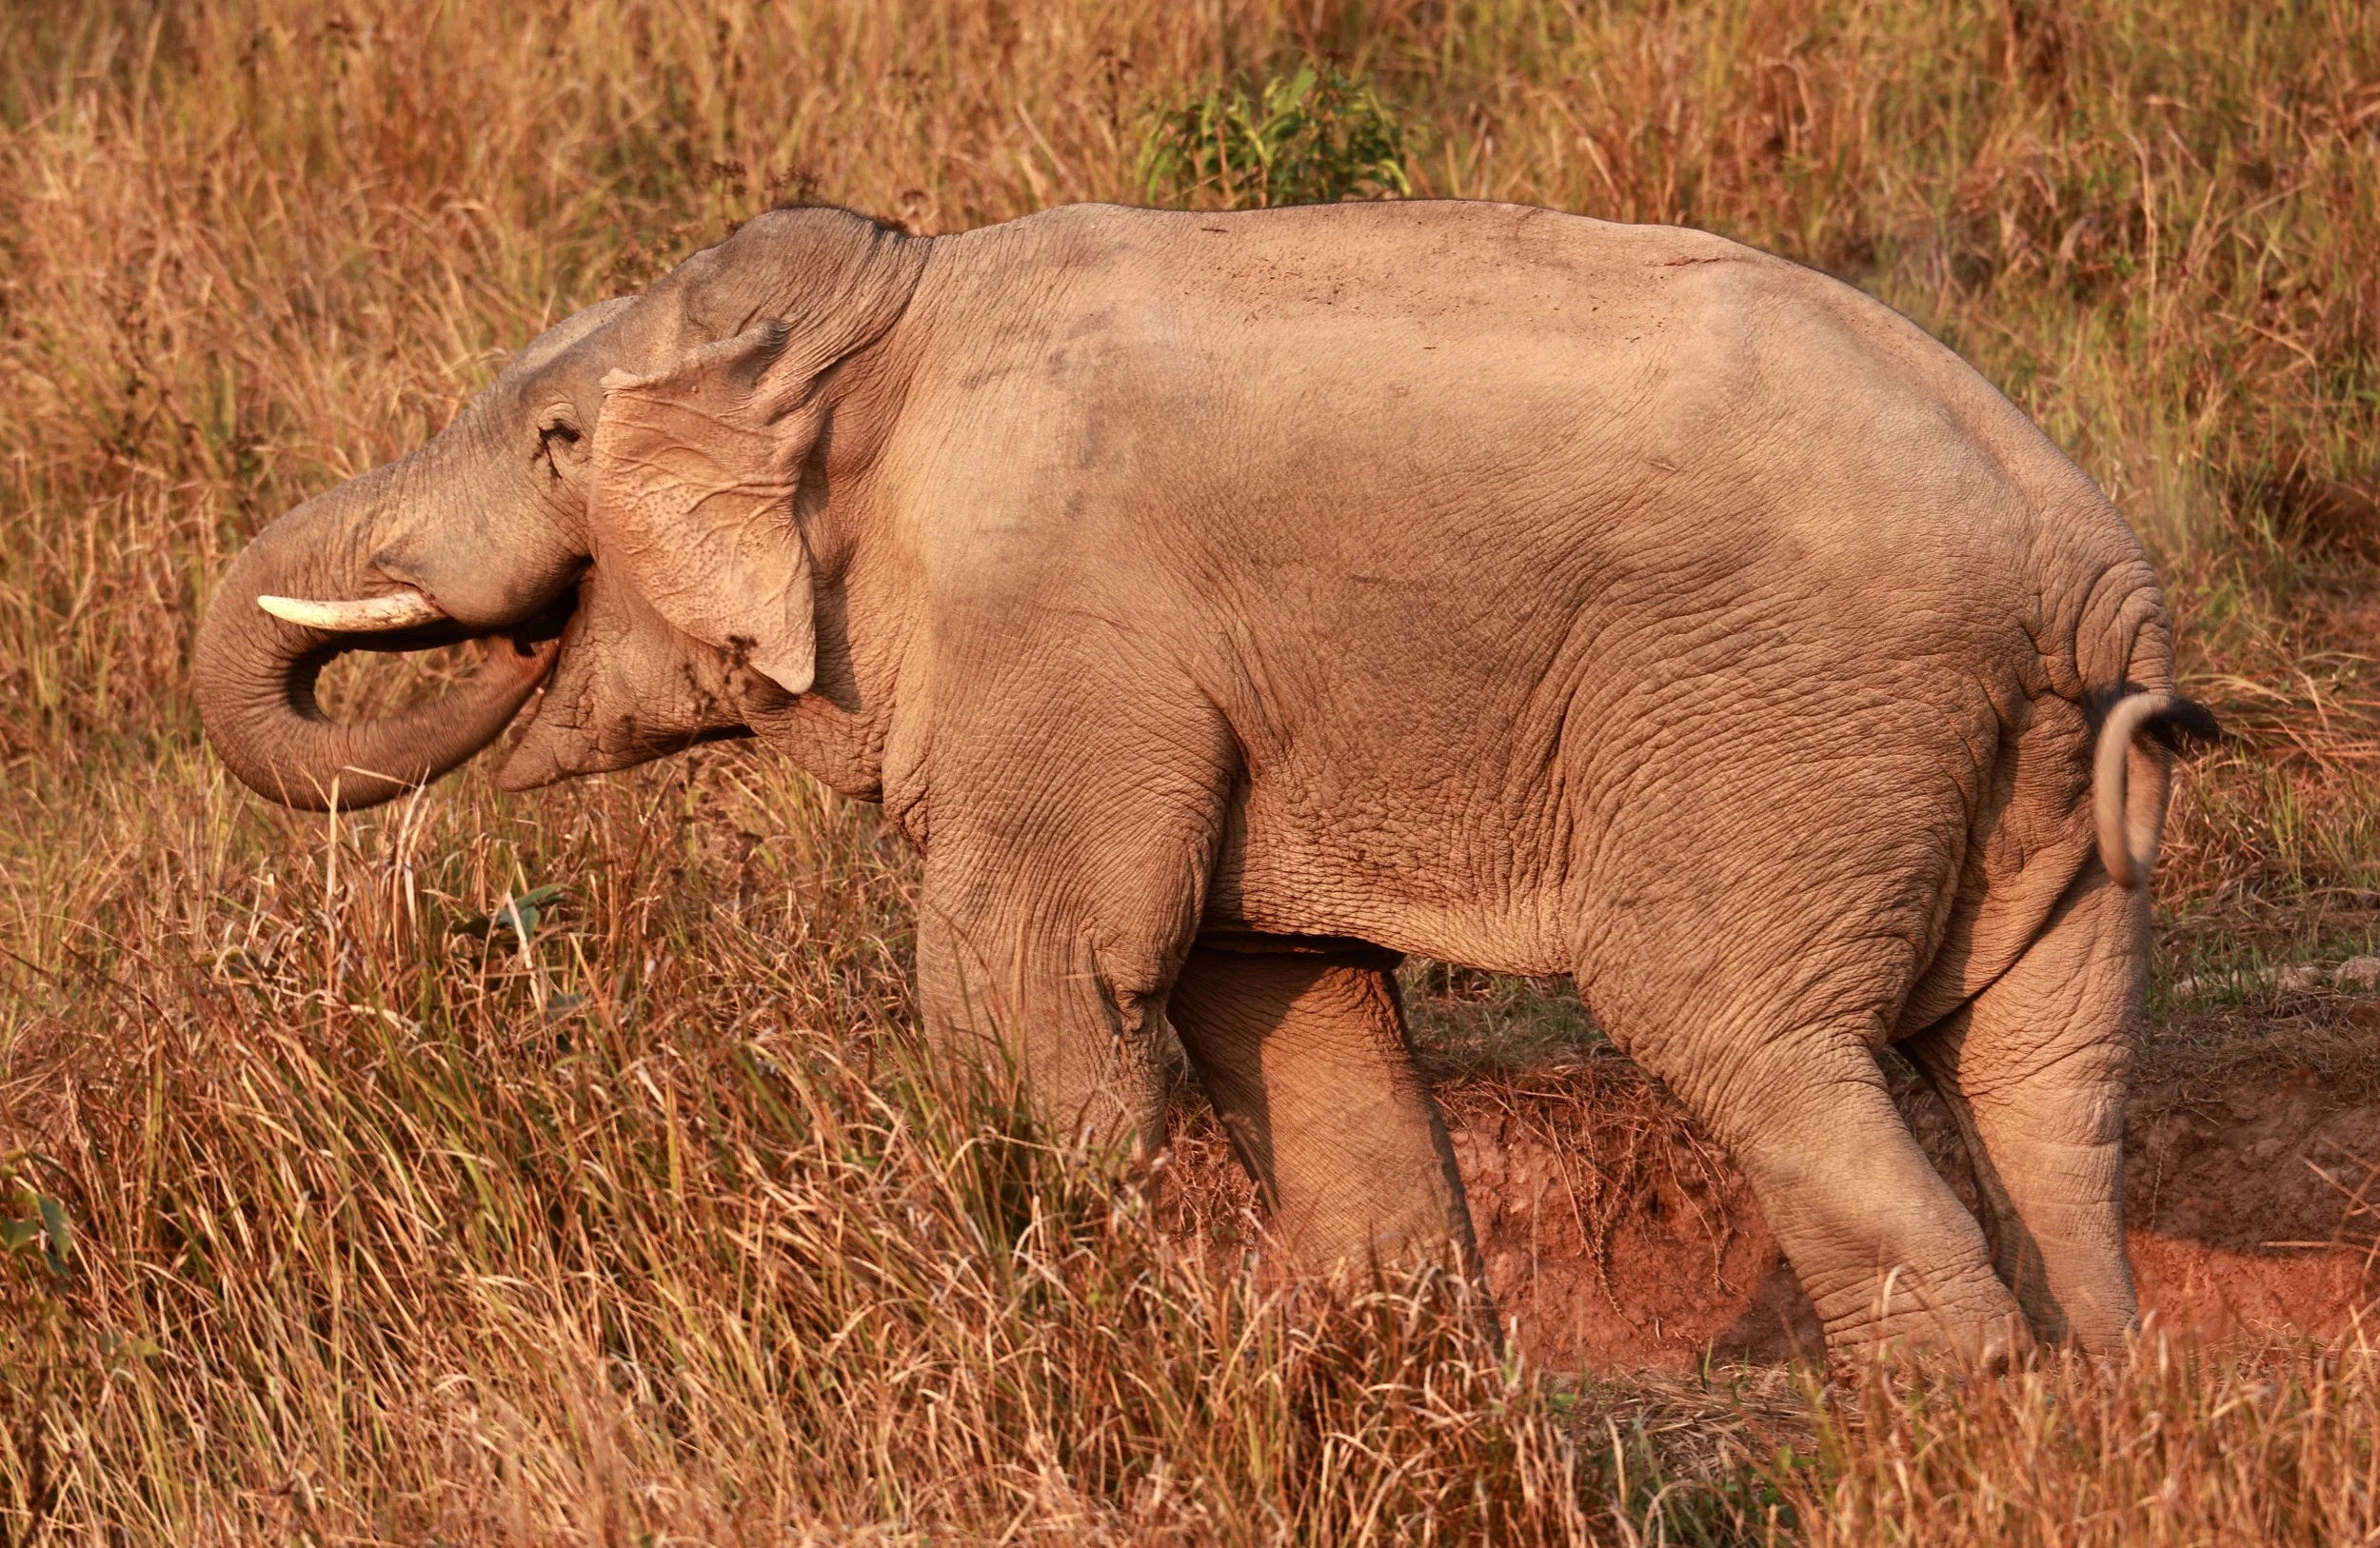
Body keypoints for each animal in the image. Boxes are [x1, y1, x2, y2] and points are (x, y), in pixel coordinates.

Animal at [193, 199, 2219, 1358]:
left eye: (556, 440)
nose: (499, 645)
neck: (892, 318)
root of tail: (2082, 565)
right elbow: (1289, 1001)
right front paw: (1392, 1374)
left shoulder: (1061, 633)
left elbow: (1031, 1002)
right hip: (2031, 794)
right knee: (2050, 1093)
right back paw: (2093, 1421)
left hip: (1782, 726)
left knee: (1748, 1041)